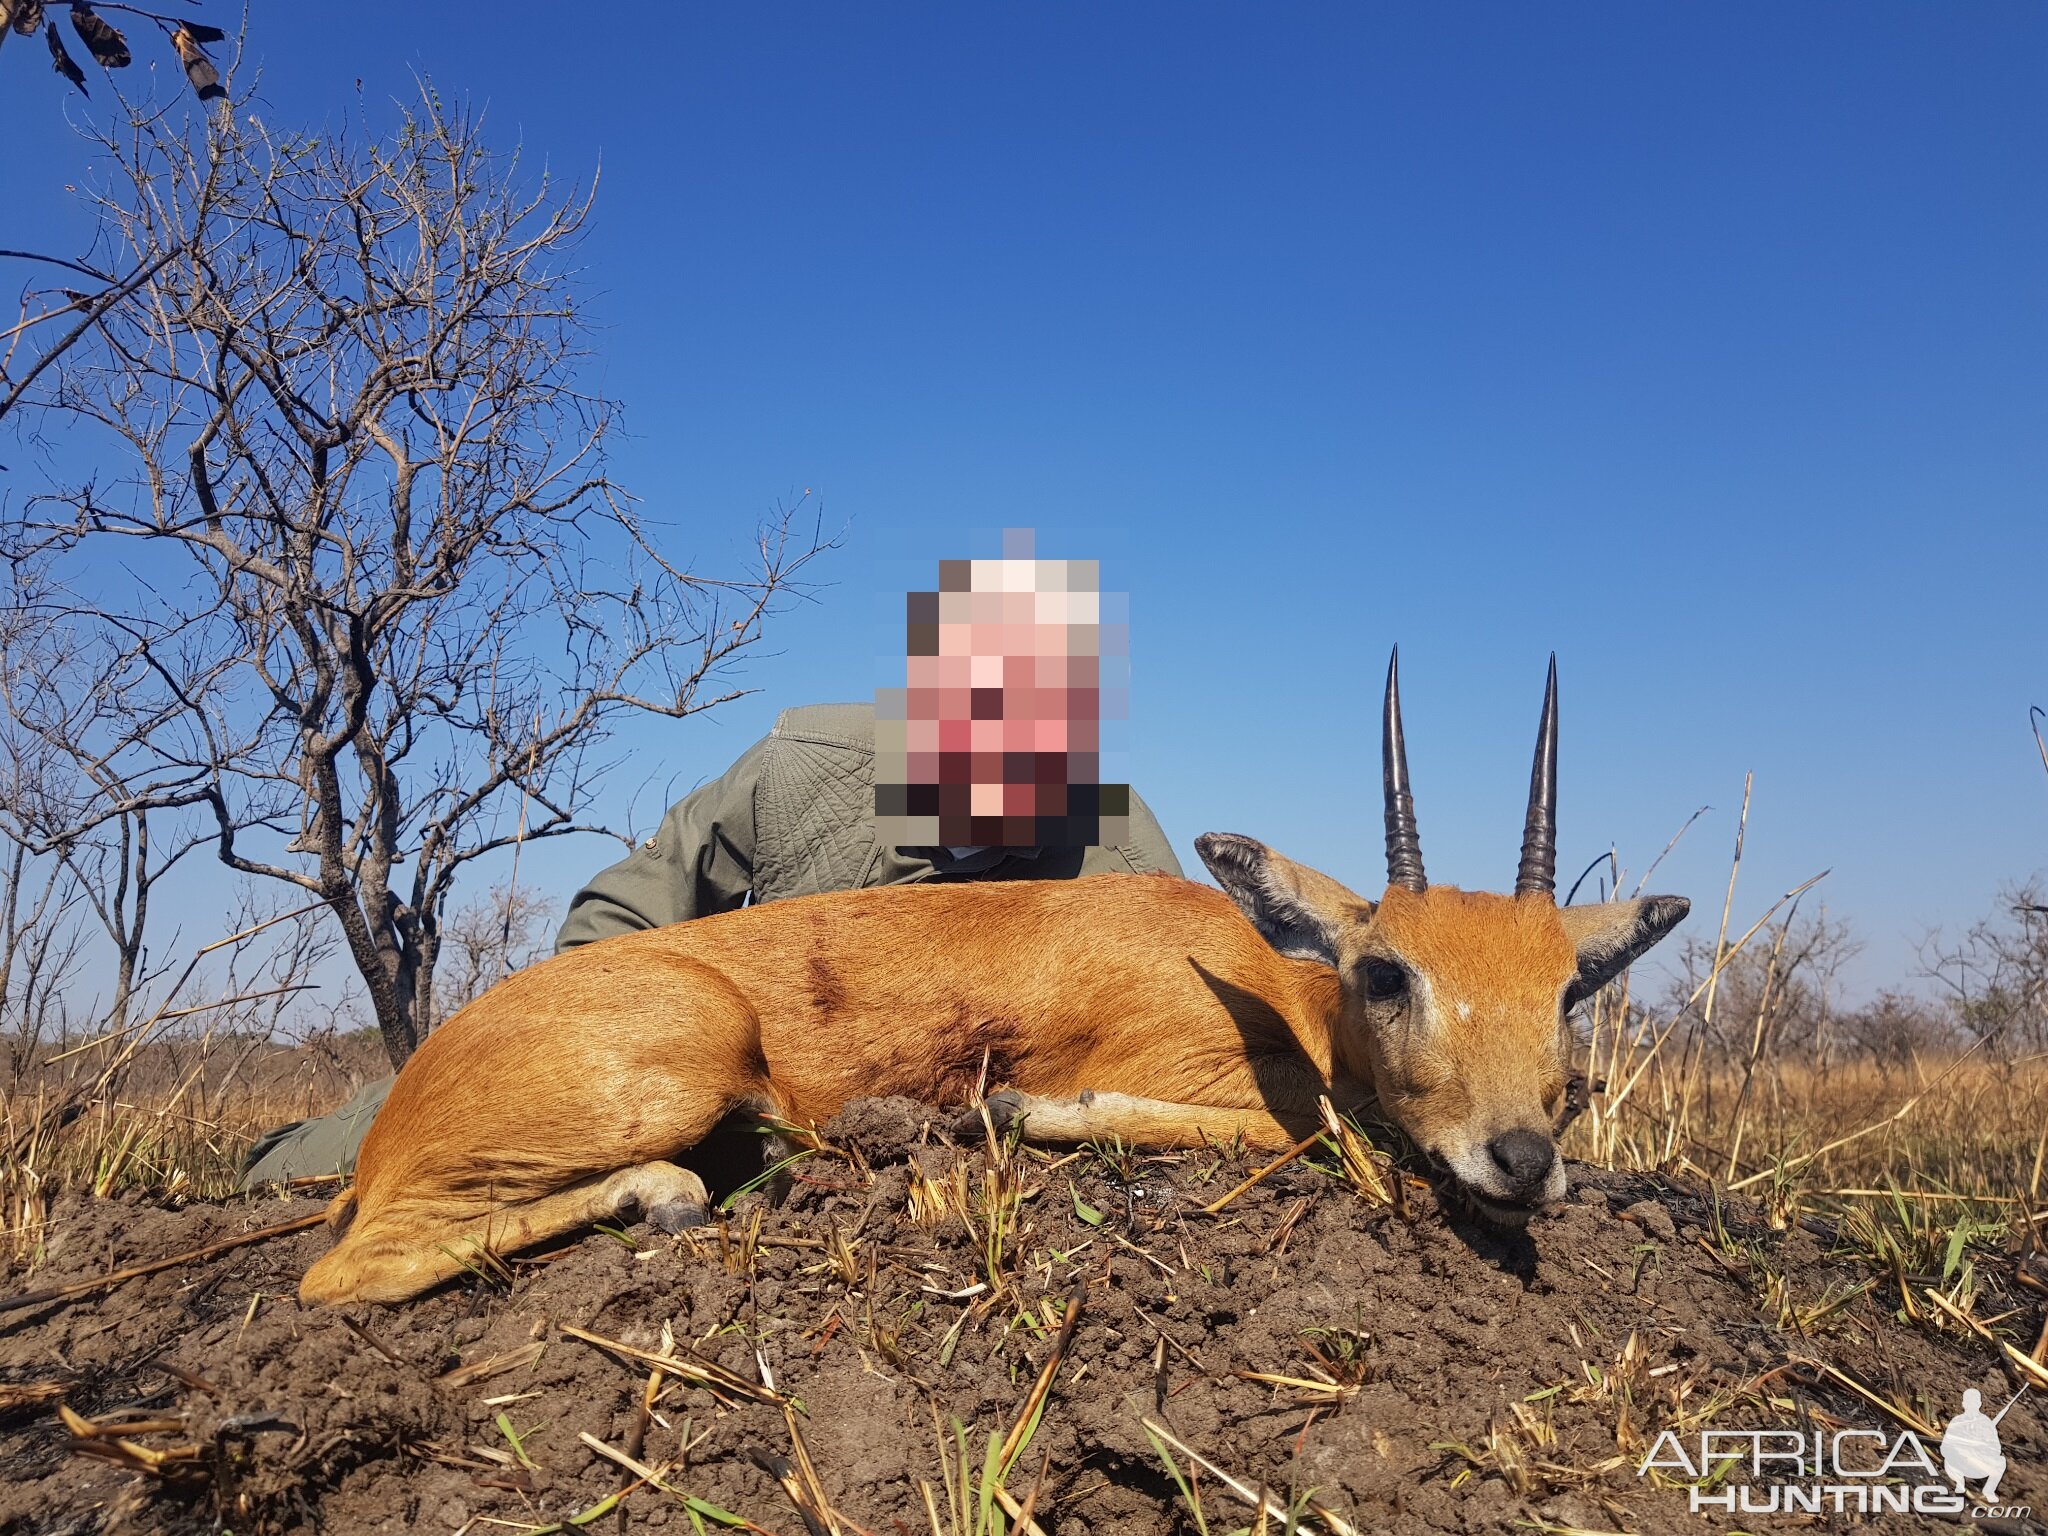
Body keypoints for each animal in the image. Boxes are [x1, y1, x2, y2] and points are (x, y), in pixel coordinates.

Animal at [296, 655, 1687, 1302]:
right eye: (1387, 971)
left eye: (1567, 988)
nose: (1522, 1159)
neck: (1267, 984)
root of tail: (401, 1106)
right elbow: (1298, 1130)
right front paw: (1020, 1108)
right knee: (343, 1271)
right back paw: (667, 1195)